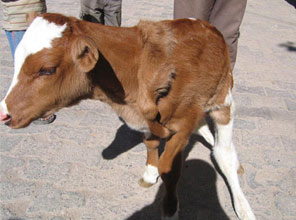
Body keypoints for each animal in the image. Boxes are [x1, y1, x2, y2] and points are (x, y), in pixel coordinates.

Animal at [0, 12, 256, 219]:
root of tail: (205, 24)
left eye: (47, 69)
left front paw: (169, 210)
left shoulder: (183, 126)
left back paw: (242, 203)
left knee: (223, 151)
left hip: (223, 97)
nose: (4, 113)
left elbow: (170, 170)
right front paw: (150, 172)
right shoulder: (149, 122)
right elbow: (151, 144)